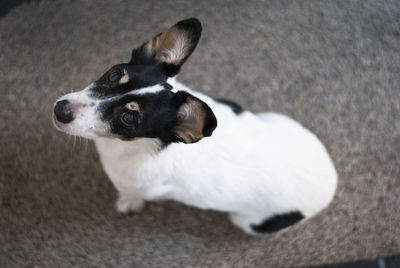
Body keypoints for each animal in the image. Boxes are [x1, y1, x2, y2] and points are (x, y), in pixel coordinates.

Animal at [51, 17, 336, 234]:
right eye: (113, 74)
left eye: (129, 119)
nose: (60, 110)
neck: (132, 145)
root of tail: (332, 182)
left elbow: (133, 195)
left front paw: (128, 203)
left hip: (248, 222)